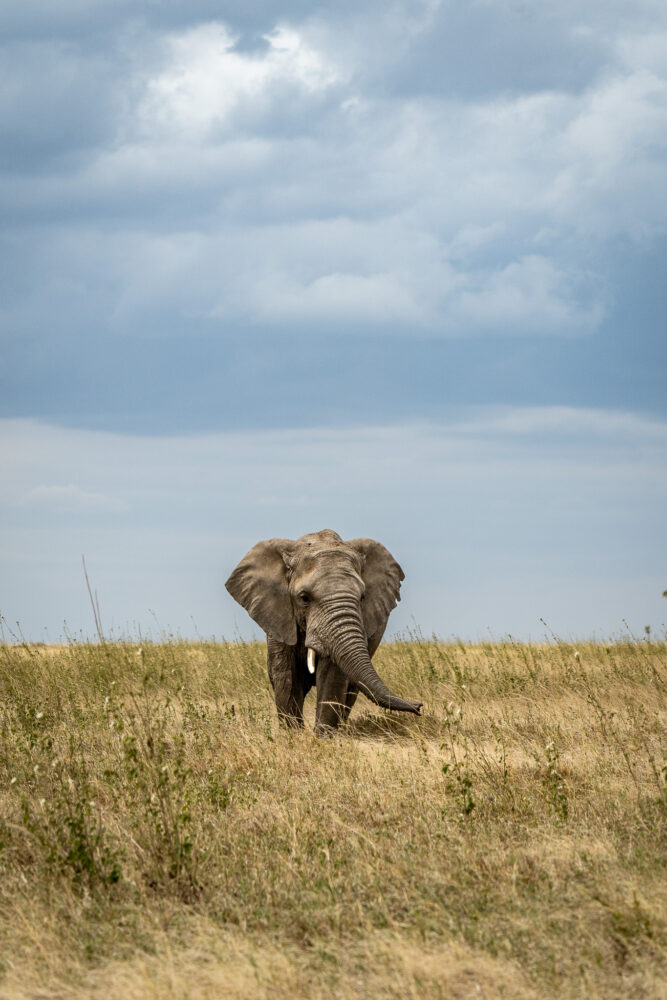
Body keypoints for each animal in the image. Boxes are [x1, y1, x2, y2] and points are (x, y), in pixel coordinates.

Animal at [226, 532, 422, 736]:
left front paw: (323, 737)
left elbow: (332, 675)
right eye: (304, 598)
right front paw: (293, 736)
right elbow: (286, 675)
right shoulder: (279, 616)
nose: (419, 707)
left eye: (362, 597)